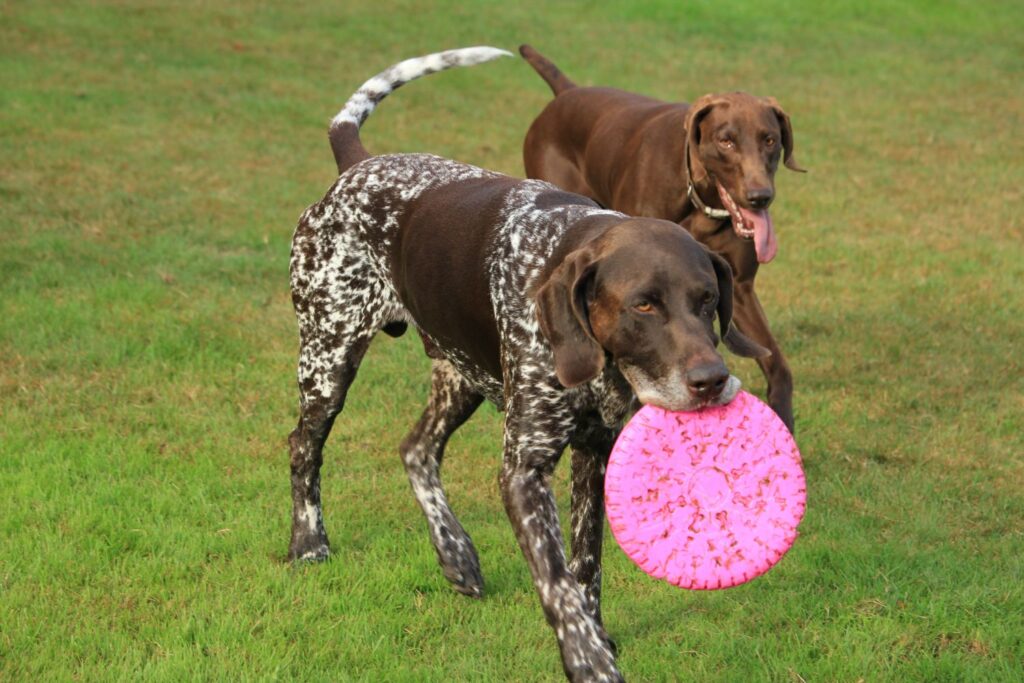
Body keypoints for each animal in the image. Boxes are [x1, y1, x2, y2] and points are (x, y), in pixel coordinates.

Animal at [288, 48, 770, 683]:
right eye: (643, 305)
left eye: (708, 300)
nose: (711, 382)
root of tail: (356, 165)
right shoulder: (525, 470)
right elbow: (557, 580)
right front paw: (587, 658)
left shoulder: (594, 456)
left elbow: (586, 567)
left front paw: (596, 635)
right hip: (329, 358)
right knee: (304, 446)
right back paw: (307, 543)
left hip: (460, 374)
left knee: (417, 448)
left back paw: (456, 553)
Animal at [524, 44, 802, 428]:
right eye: (726, 140)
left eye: (770, 140)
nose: (759, 197)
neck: (701, 202)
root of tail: (567, 92)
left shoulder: (738, 286)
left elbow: (777, 364)